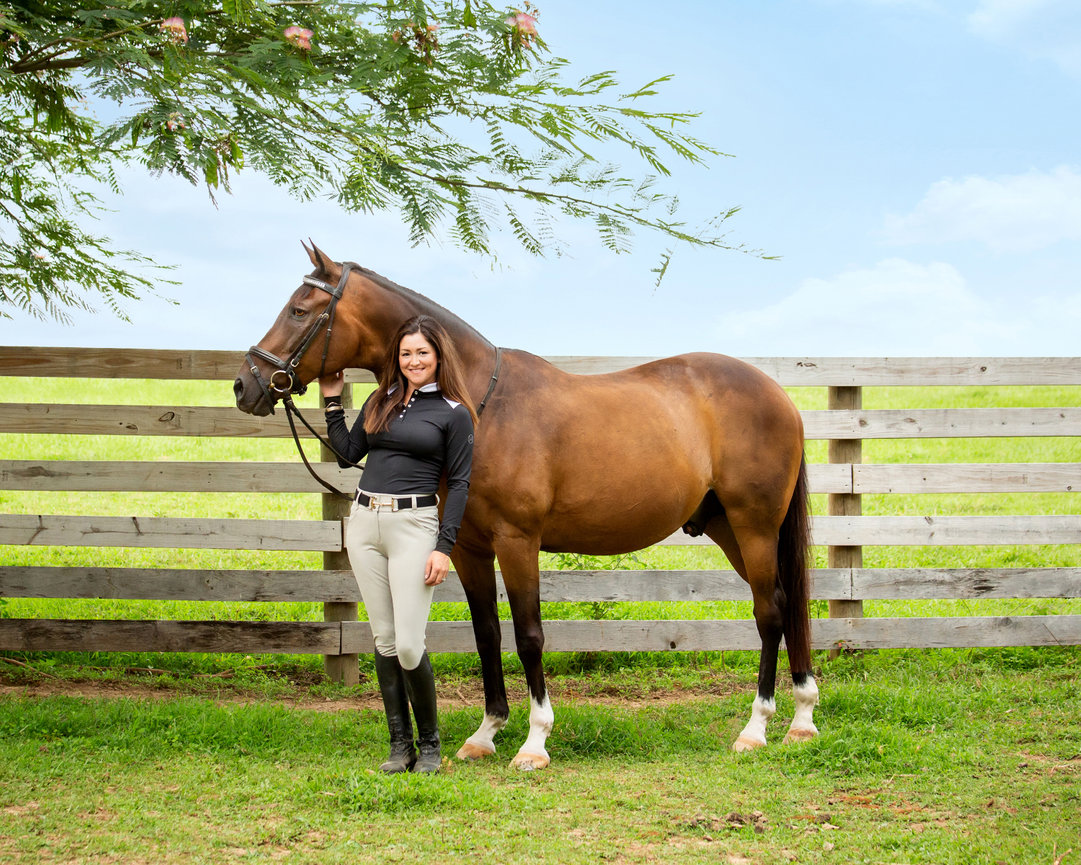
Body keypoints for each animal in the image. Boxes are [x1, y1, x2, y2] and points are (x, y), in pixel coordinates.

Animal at [233, 243, 819, 769]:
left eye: (299, 310)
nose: (246, 385)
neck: (480, 405)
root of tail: (780, 396)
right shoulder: (466, 548)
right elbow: (487, 634)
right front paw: (485, 733)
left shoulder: (517, 542)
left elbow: (529, 635)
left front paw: (535, 742)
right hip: (728, 528)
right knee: (786, 603)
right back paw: (802, 720)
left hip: (754, 525)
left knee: (769, 612)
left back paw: (757, 728)